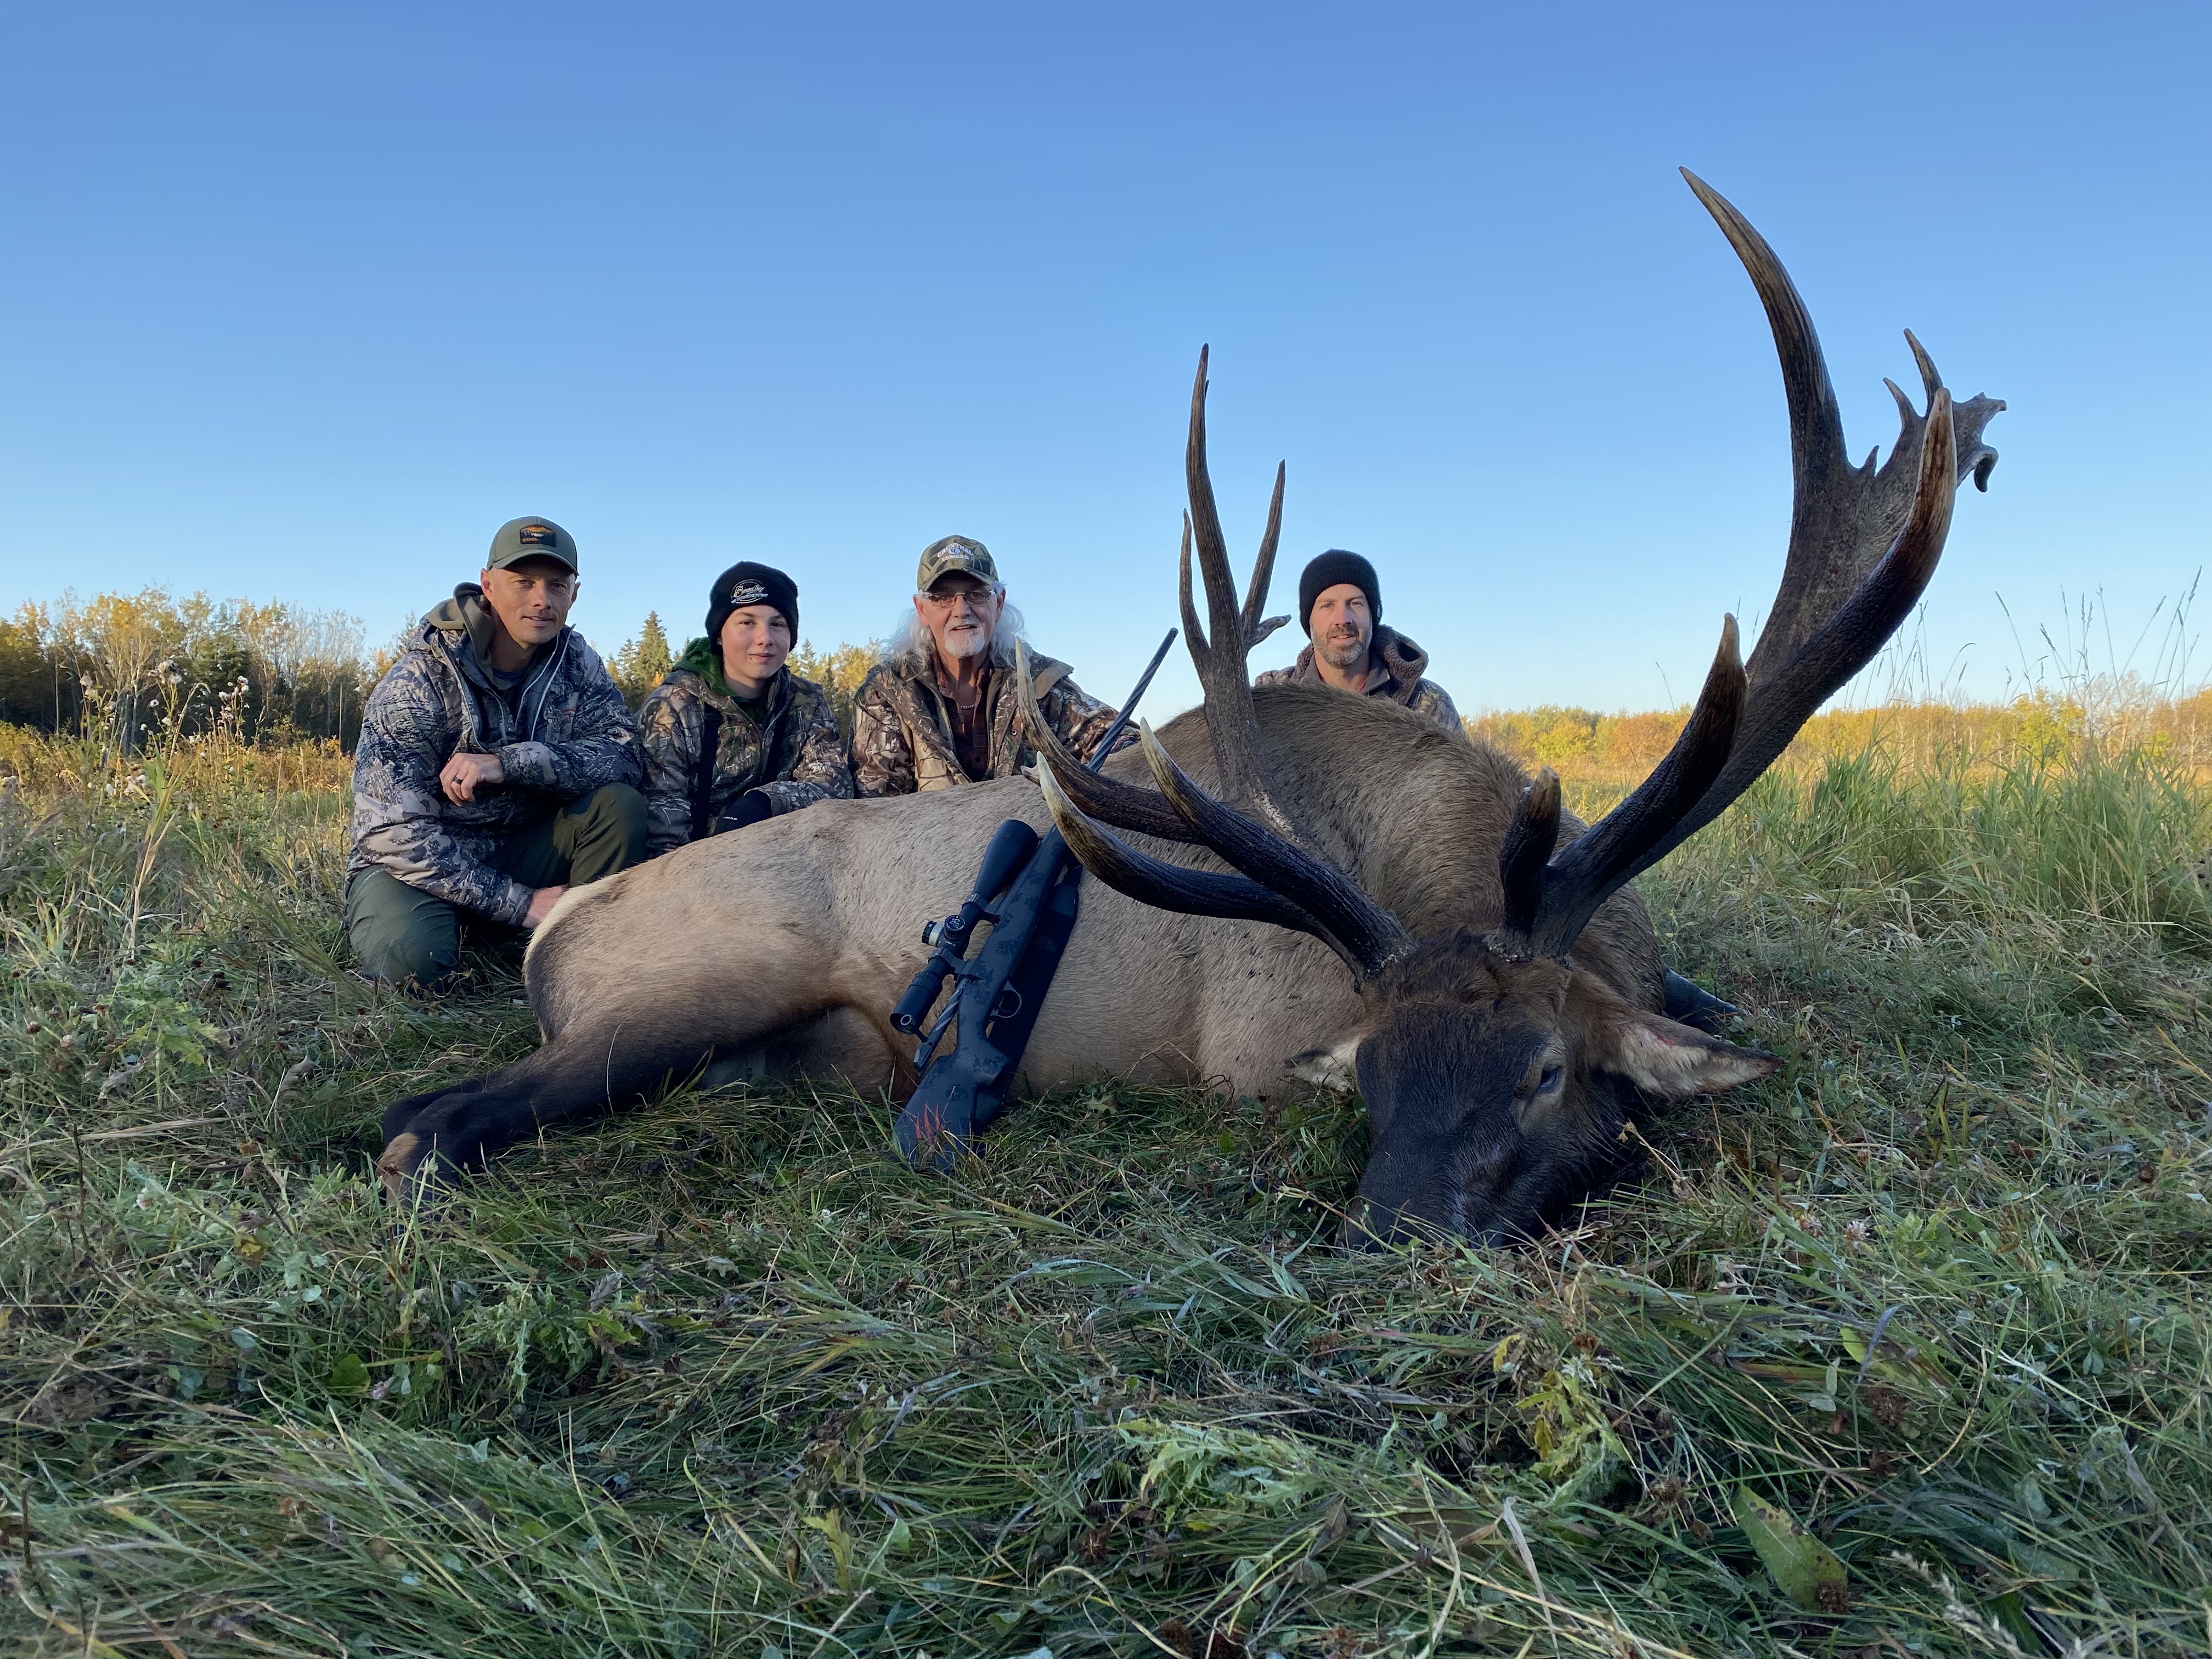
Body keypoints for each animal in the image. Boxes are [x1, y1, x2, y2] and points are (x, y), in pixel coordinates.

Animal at [374, 170, 2000, 1243]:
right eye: (1369, 1081)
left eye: (1545, 1074)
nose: (1396, 1232)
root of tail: (565, 926)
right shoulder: (1248, 1060)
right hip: (692, 985)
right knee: (436, 1112)